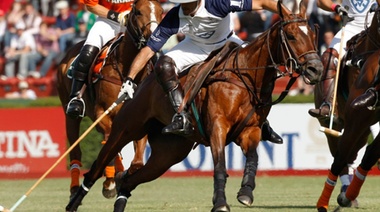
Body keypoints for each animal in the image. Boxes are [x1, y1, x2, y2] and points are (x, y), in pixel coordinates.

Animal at [56, 0, 162, 200]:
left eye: (161, 12)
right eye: (137, 12)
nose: (154, 37)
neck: (128, 71)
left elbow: (137, 162)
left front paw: (121, 178)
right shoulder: (102, 112)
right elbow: (109, 144)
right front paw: (111, 182)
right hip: (70, 114)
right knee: (76, 149)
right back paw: (76, 188)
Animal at [67, 0, 322, 211]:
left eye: (313, 33)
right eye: (291, 36)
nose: (316, 69)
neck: (245, 78)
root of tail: (143, 83)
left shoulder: (251, 130)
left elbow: (253, 158)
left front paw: (246, 192)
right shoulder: (217, 126)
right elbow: (219, 165)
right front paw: (220, 203)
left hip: (168, 154)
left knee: (129, 181)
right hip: (124, 129)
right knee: (97, 166)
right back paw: (74, 200)